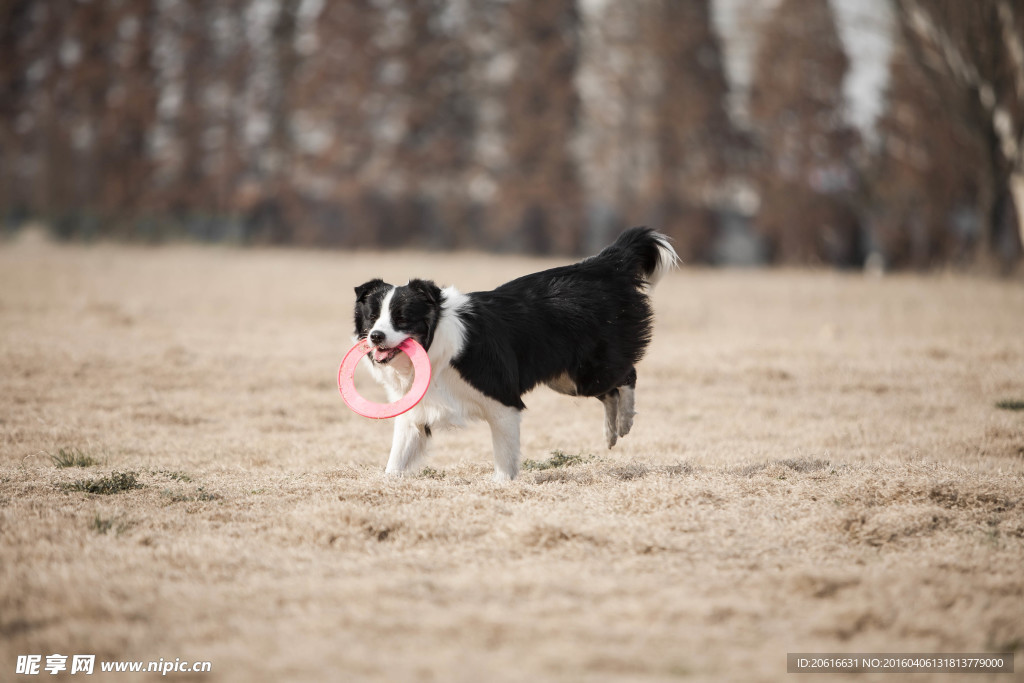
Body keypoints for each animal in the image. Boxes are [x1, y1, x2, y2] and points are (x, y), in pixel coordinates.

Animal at [352, 228, 679, 481]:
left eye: (402, 319)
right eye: (372, 318)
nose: (376, 336)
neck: (437, 348)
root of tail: (604, 264)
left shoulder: (502, 400)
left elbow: (504, 453)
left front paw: (501, 484)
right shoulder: (416, 411)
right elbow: (397, 457)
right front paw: (387, 482)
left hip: (589, 370)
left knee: (627, 375)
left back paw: (624, 421)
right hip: (566, 379)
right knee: (611, 392)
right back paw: (612, 432)